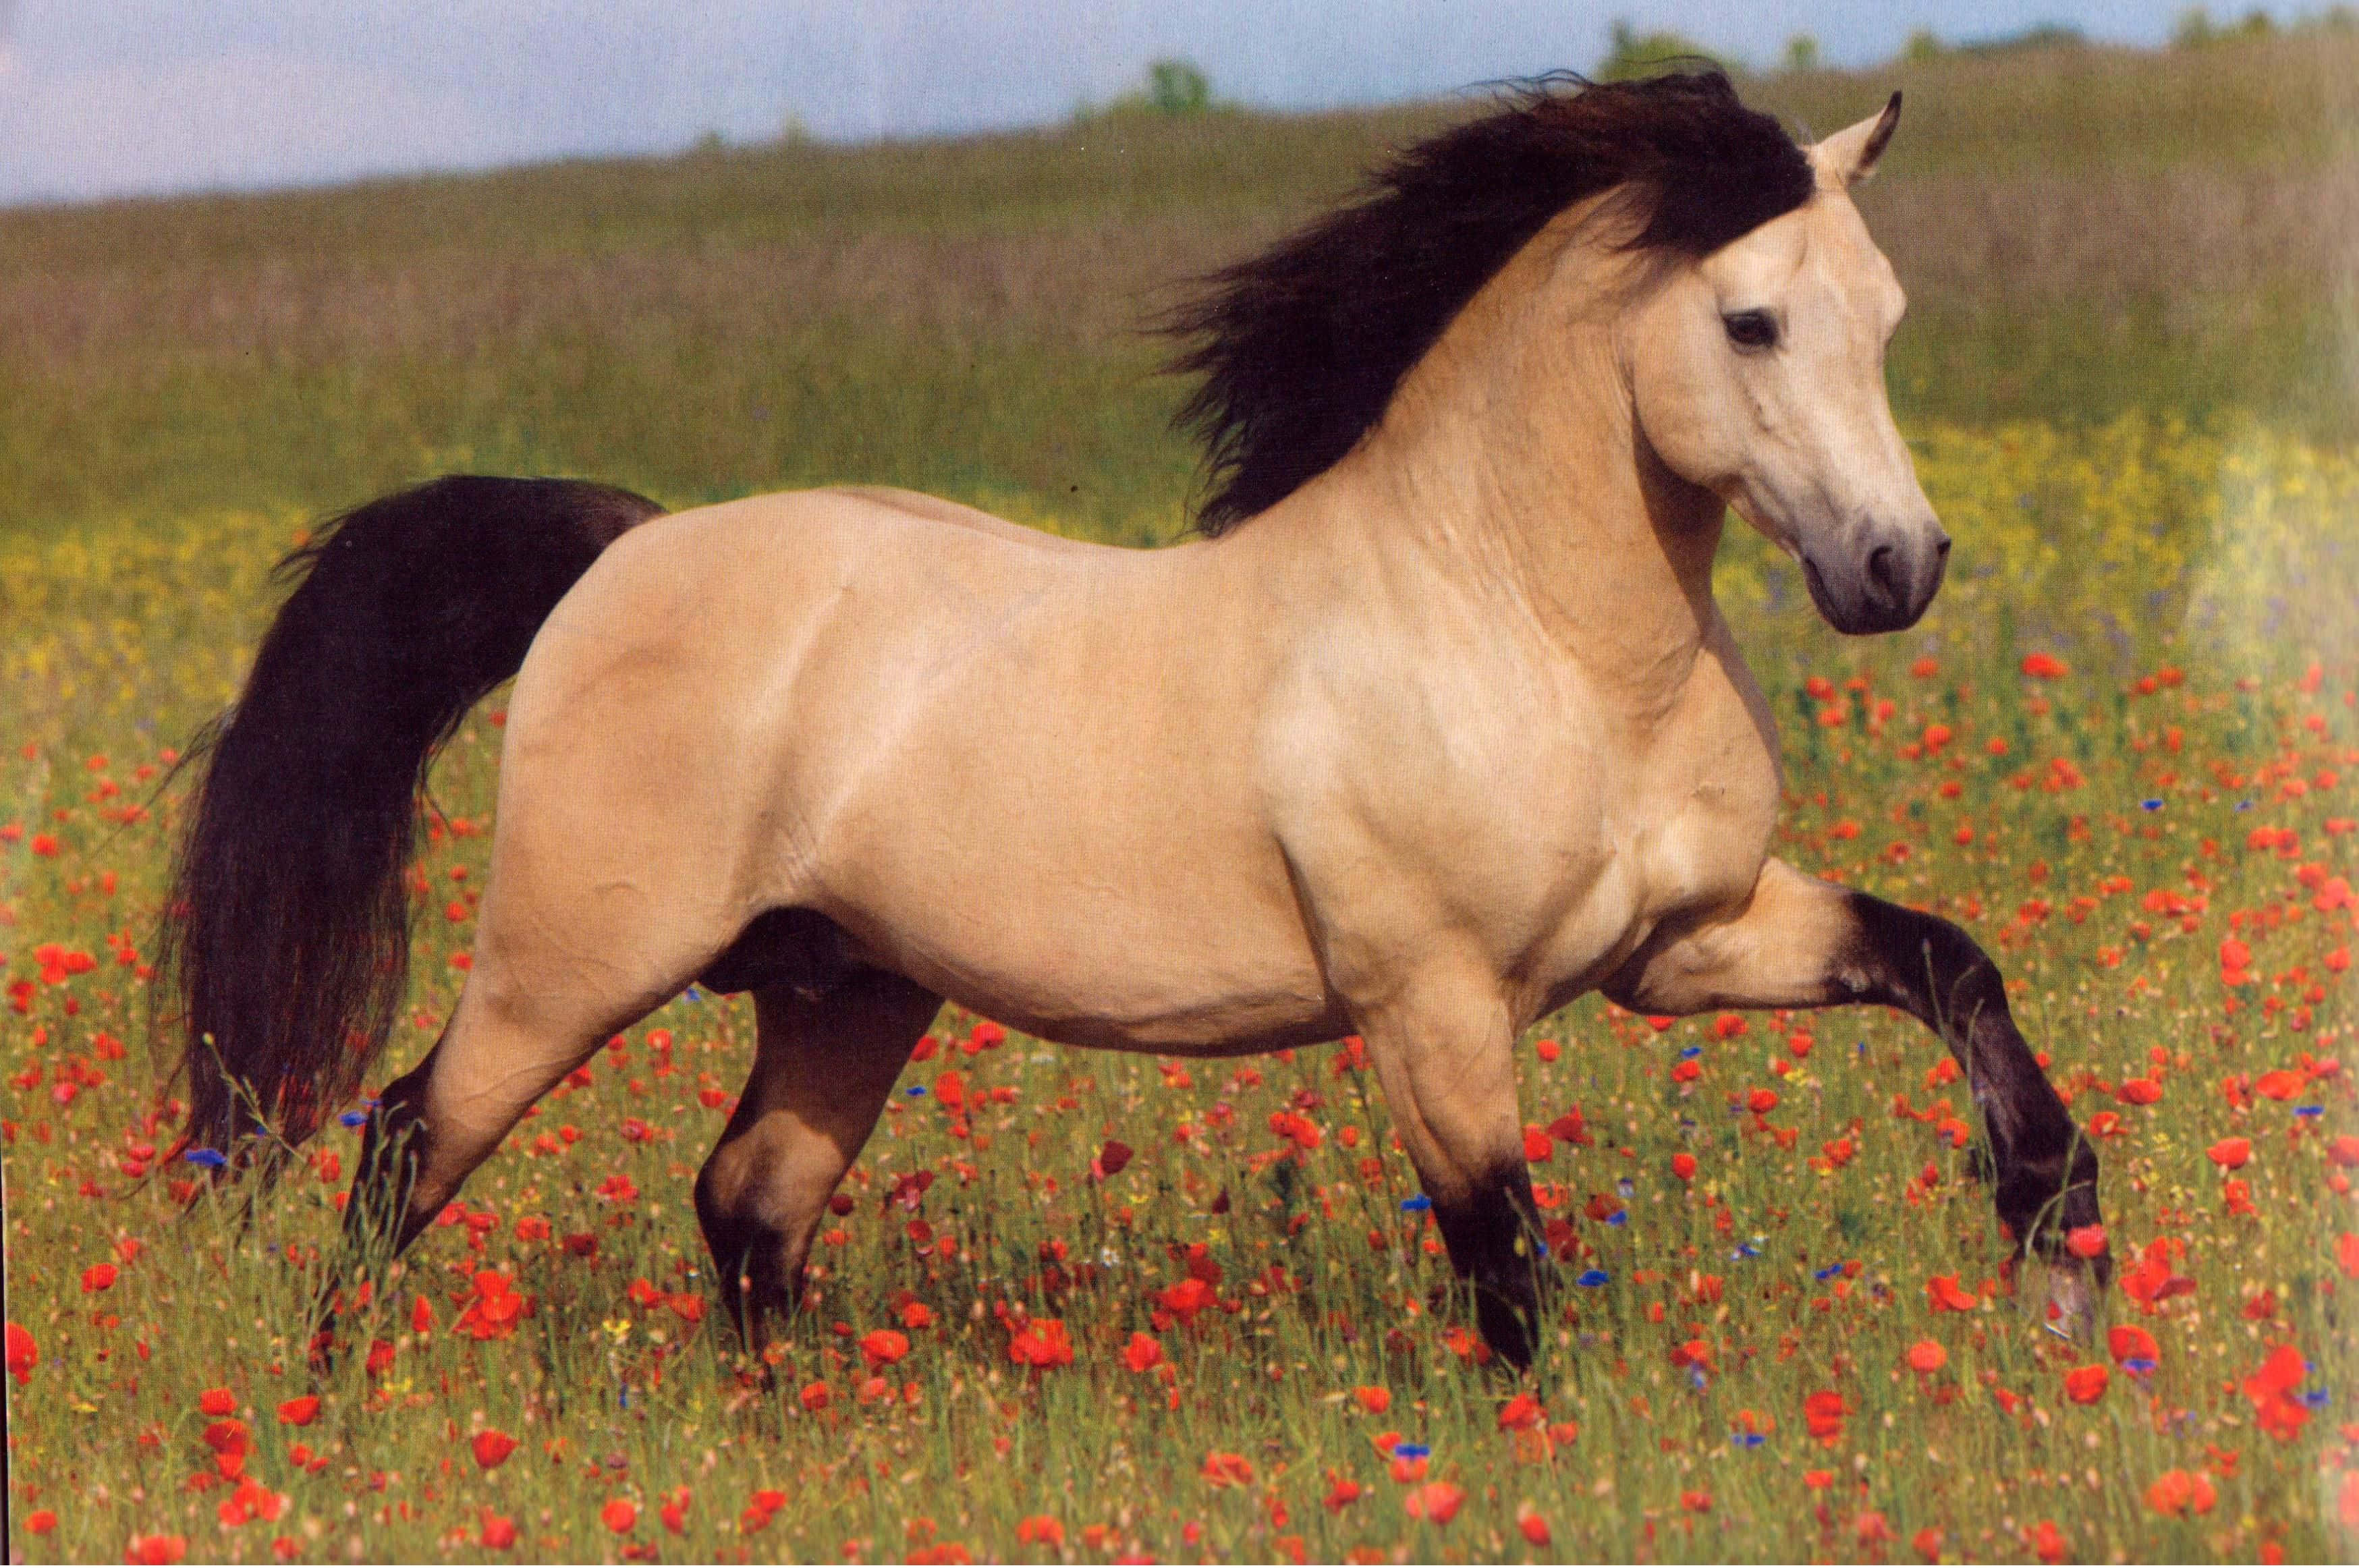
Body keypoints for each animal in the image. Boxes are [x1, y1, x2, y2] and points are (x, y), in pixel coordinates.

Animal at [159, 71, 2108, 1369]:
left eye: (1888, 314)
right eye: (1753, 320)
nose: (1896, 564)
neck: (1521, 627)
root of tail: (621, 553)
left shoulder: (1683, 945)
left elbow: (1948, 964)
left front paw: (2061, 1248)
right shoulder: (1431, 1006)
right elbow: (1505, 1263)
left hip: (846, 989)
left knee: (749, 1203)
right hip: (569, 962)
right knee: (404, 1141)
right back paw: (335, 1395)